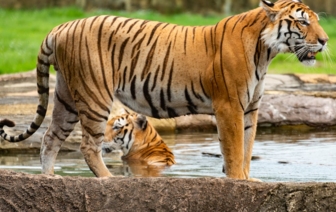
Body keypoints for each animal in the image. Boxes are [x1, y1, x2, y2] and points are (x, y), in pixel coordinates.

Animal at [0, 0, 326, 180]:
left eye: (317, 22)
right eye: (301, 22)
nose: (324, 41)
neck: (265, 51)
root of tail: (60, 27)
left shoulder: (251, 108)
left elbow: (246, 150)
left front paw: (247, 180)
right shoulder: (230, 105)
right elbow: (233, 151)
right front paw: (239, 183)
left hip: (66, 95)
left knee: (50, 138)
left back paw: (50, 179)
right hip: (94, 94)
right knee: (88, 145)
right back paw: (108, 180)